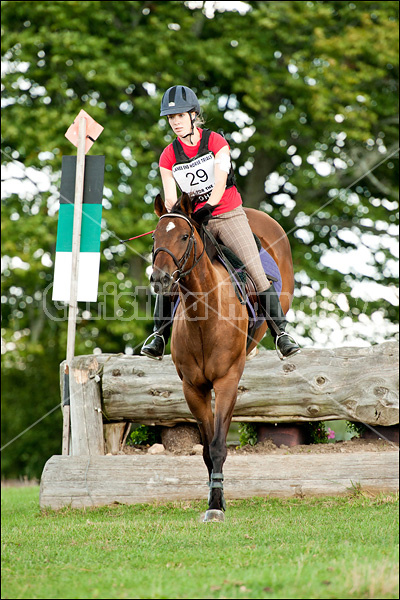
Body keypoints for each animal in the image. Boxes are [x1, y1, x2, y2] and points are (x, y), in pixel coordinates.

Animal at [150, 193, 294, 520]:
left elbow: (218, 446)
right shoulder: (193, 387)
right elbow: (206, 449)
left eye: (185, 236)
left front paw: (215, 506)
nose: (160, 280)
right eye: (155, 237)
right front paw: (216, 499)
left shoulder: (227, 381)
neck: (204, 315)